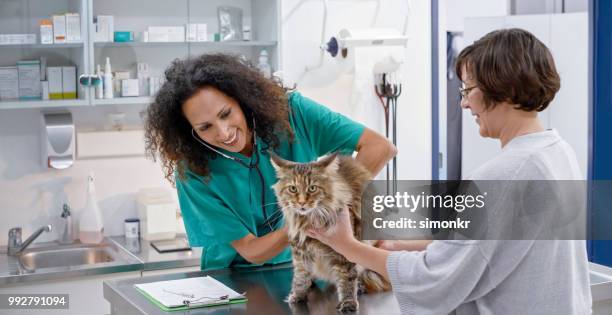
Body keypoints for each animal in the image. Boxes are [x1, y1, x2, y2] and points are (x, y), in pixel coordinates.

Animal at [270, 153, 390, 314]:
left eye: (312, 188)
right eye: (293, 189)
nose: (301, 203)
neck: (309, 219)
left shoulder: (344, 250)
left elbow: (347, 278)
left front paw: (348, 302)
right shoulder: (300, 250)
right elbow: (301, 276)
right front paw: (298, 295)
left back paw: (359, 287)